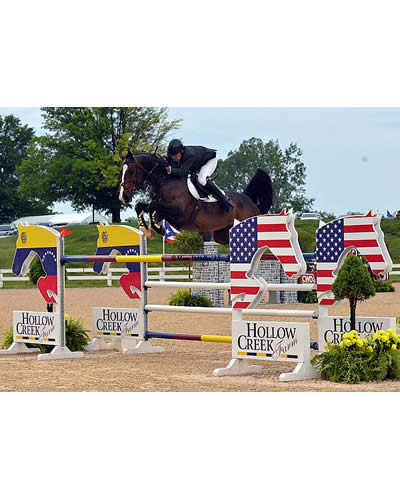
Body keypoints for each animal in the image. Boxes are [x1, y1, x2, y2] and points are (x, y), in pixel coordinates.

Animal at [119, 152, 274, 246]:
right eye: (122, 171)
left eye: (131, 171)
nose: (123, 197)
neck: (165, 180)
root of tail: (248, 199)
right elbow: (142, 206)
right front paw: (147, 229)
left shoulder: (178, 212)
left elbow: (152, 206)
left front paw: (155, 228)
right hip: (223, 234)